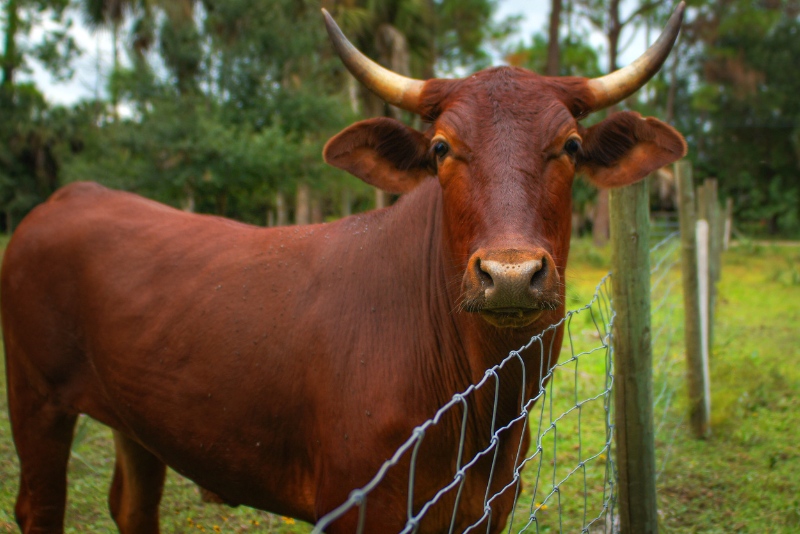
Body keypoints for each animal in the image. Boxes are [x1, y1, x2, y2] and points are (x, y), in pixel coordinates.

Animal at [1, 5, 688, 534]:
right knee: (38, 506)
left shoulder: (486, 511)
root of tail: (70, 195)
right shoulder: (361, 508)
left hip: (139, 419)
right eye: (441, 148)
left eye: (570, 146)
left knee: (133, 509)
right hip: (36, 399)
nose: (512, 273)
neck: (484, 405)